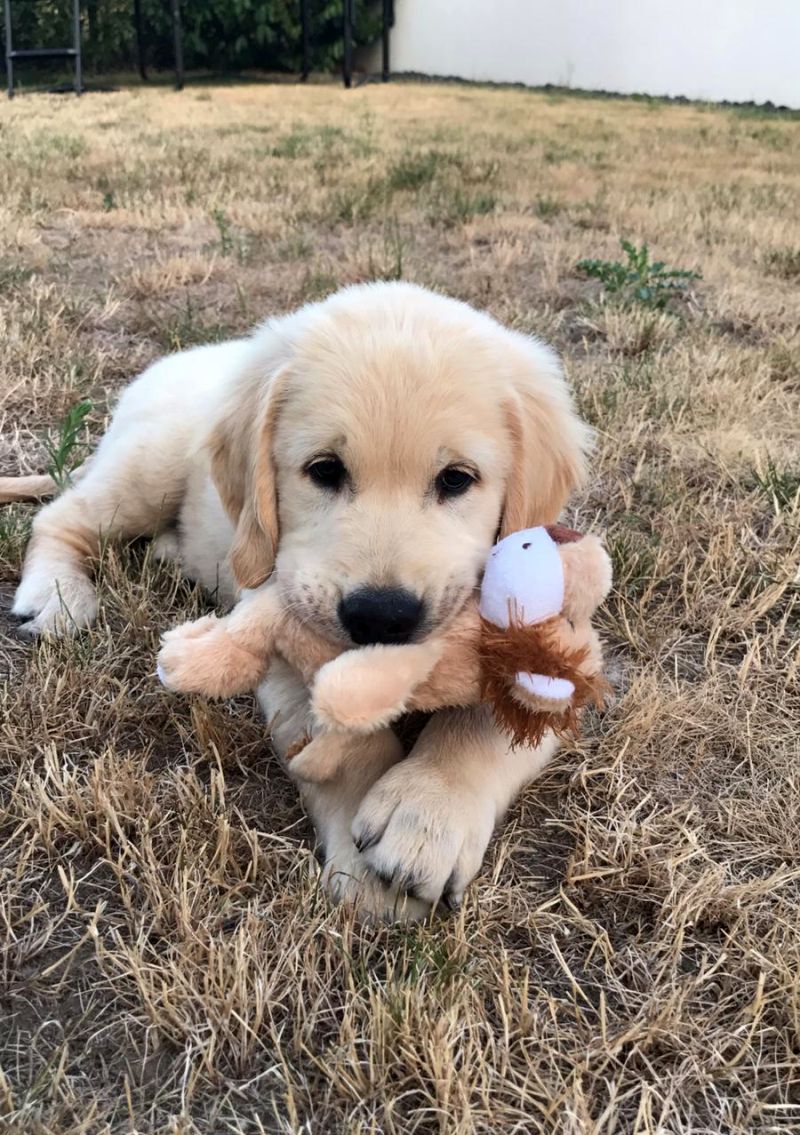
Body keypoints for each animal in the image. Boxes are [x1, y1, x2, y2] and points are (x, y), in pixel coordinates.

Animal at [5, 282, 592, 918]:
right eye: (324, 470)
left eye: (457, 479)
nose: (380, 616)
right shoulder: (281, 645)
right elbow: (341, 741)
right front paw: (367, 863)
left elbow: (490, 720)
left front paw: (426, 814)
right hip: (147, 468)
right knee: (59, 517)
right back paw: (56, 596)